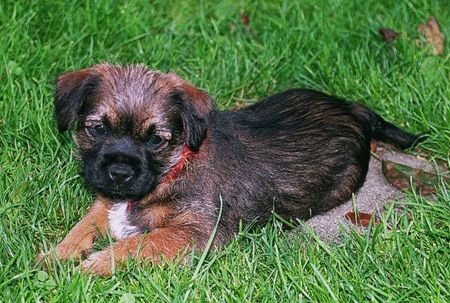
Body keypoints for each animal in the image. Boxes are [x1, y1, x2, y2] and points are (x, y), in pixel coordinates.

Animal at [42, 63, 418, 276]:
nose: (119, 173)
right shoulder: (107, 202)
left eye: (156, 140)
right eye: (97, 128)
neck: (175, 168)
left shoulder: (195, 233)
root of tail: (353, 109)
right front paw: (56, 255)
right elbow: (83, 226)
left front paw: (93, 265)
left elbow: (139, 244)